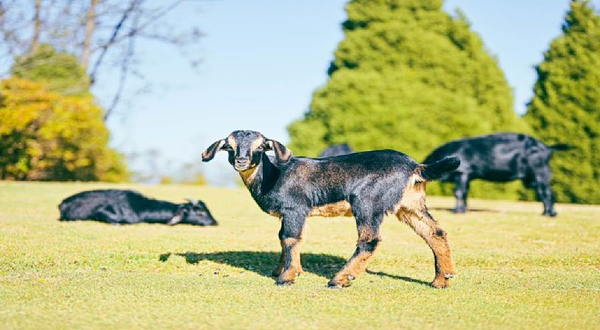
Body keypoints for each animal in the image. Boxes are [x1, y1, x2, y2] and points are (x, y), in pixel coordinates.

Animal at [202, 130, 460, 288]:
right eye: (229, 147)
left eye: (260, 147)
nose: (241, 161)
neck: (273, 174)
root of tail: (415, 166)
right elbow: (281, 237)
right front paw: (278, 270)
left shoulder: (295, 208)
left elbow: (290, 238)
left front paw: (287, 277)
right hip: (410, 205)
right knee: (434, 232)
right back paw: (441, 279)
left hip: (368, 201)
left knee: (369, 239)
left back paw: (340, 279)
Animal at [424, 133, 568, 218]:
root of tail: (547, 147)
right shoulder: (468, 177)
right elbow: (465, 193)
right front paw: (464, 209)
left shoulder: (462, 173)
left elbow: (459, 193)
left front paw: (457, 211)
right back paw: (548, 212)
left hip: (539, 173)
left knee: (546, 192)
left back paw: (548, 213)